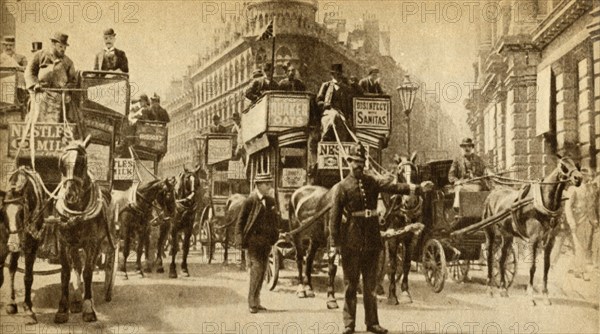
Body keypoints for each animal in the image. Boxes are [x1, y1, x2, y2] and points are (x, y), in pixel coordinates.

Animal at [0, 167, 47, 324]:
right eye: (3, 213)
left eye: (21, 212)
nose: (13, 245)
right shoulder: (2, 244)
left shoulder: (31, 247)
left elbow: (28, 277)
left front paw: (28, 308)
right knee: (12, 268)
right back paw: (11, 303)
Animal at [55, 136, 115, 324]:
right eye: (61, 162)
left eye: (82, 162)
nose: (70, 195)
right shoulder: (64, 242)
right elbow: (66, 272)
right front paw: (63, 308)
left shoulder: (92, 243)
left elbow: (88, 272)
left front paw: (88, 308)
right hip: (75, 245)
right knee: (77, 267)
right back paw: (75, 300)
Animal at [380, 154, 422, 306]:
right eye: (400, 173)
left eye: (415, 172)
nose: (410, 200)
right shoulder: (392, 237)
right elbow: (392, 266)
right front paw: (392, 295)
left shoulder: (411, 238)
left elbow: (406, 264)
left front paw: (405, 292)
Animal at [482, 157, 580, 306]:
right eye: (563, 165)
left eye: (576, 165)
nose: (578, 178)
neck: (542, 203)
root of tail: (492, 193)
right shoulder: (533, 240)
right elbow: (532, 267)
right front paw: (530, 296)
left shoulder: (550, 241)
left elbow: (546, 266)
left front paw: (545, 295)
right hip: (490, 232)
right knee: (490, 257)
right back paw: (489, 289)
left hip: (507, 235)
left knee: (502, 260)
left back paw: (503, 289)